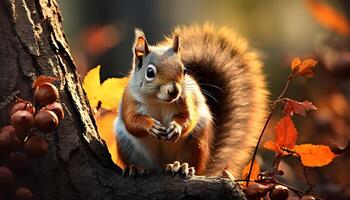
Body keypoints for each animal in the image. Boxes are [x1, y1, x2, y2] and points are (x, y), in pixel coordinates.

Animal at [115, 24, 268, 177]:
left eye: (184, 70)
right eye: (150, 72)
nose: (174, 91)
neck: (159, 101)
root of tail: (160, 166)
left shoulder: (187, 100)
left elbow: (189, 117)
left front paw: (176, 128)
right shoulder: (129, 100)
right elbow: (131, 121)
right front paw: (151, 125)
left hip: (196, 144)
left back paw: (180, 167)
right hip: (126, 144)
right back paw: (136, 167)